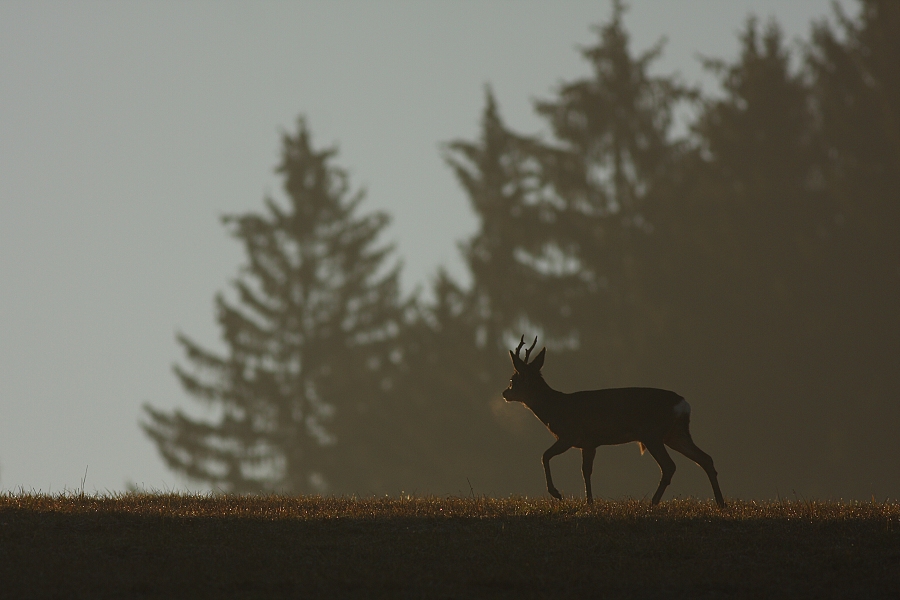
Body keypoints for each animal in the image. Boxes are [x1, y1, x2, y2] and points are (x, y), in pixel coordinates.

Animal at [503, 336, 726, 508]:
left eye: (513, 379)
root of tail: (683, 404)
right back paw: (720, 503)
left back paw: (652, 503)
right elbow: (586, 471)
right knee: (705, 458)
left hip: (653, 434)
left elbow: (545, 456)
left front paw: (557, 493)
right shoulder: (589, 443)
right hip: (676, 434)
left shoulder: (570, 435)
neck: (555, 408)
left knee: (670, 466)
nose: (505, 393)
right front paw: (589, 502)